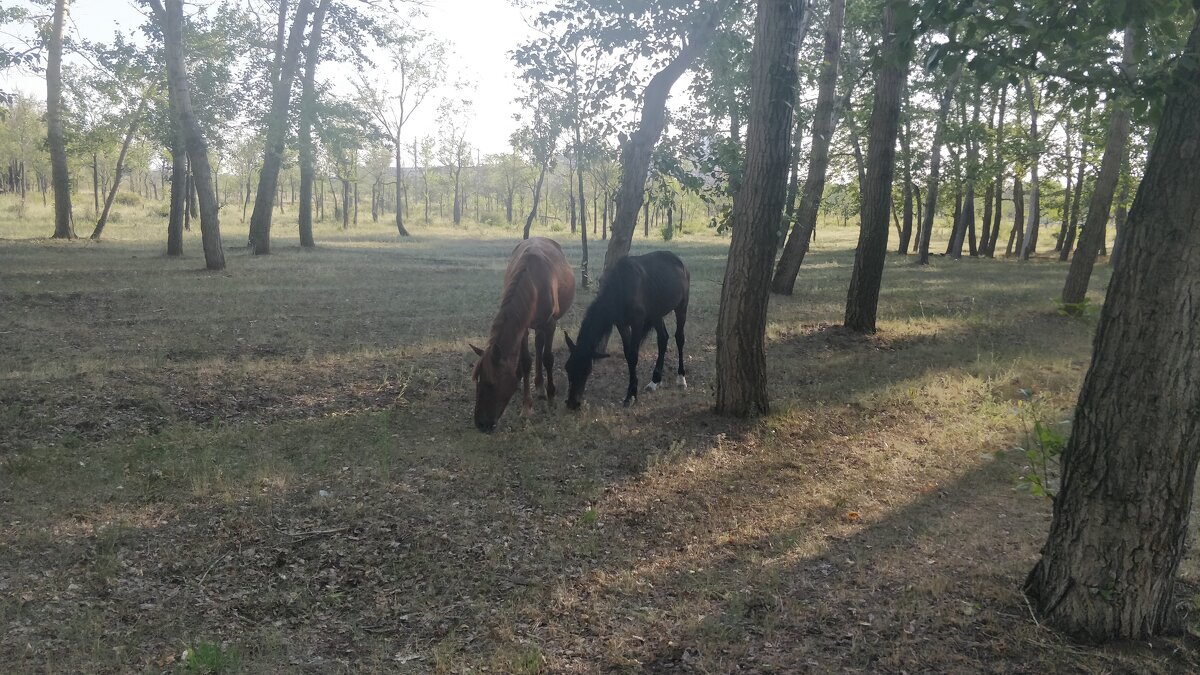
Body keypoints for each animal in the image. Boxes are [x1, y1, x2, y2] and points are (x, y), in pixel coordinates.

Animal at [470, 236, 573, 429]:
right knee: (537, 346)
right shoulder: (522, 326)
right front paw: (526, 407)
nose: (481, 424)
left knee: (541, 347)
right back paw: (537, 385)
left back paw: (542, 389)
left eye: (491, 383)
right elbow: (526, 362)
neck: (534, 282)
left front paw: (551, 397)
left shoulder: (550, 323)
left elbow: (548, 358)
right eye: (477, 380)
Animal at [566, 249, 691, 408]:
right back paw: (654, 381)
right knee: (663, 339)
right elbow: (628, 355)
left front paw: (631, 395)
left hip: (681, 306)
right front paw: (631, 392)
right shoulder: (622, 324)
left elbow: (634, 354)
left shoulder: (637, 322)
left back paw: (681, 378)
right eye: (568, 368)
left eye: (586, 371)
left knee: (679, 338)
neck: (622, 288)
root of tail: (680, 262)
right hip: (656, 314)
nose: (572, 403)